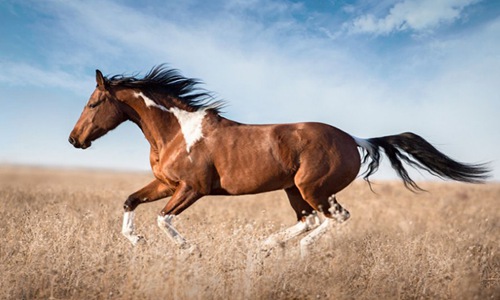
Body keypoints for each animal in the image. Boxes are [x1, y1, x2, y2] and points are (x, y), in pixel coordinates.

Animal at [68, 65, 490, 255]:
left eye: (94, 103)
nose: (74, 140)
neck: (177, 132)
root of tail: (354, 139)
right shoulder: (166, 184)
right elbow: (131, 201)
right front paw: (135, 240)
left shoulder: (192, 188)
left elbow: (163, 218)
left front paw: (189, 249)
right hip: (293, 190)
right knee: (309, 220)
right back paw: (266, 245)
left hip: (311, 187)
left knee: (334, 217)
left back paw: (295, 251)